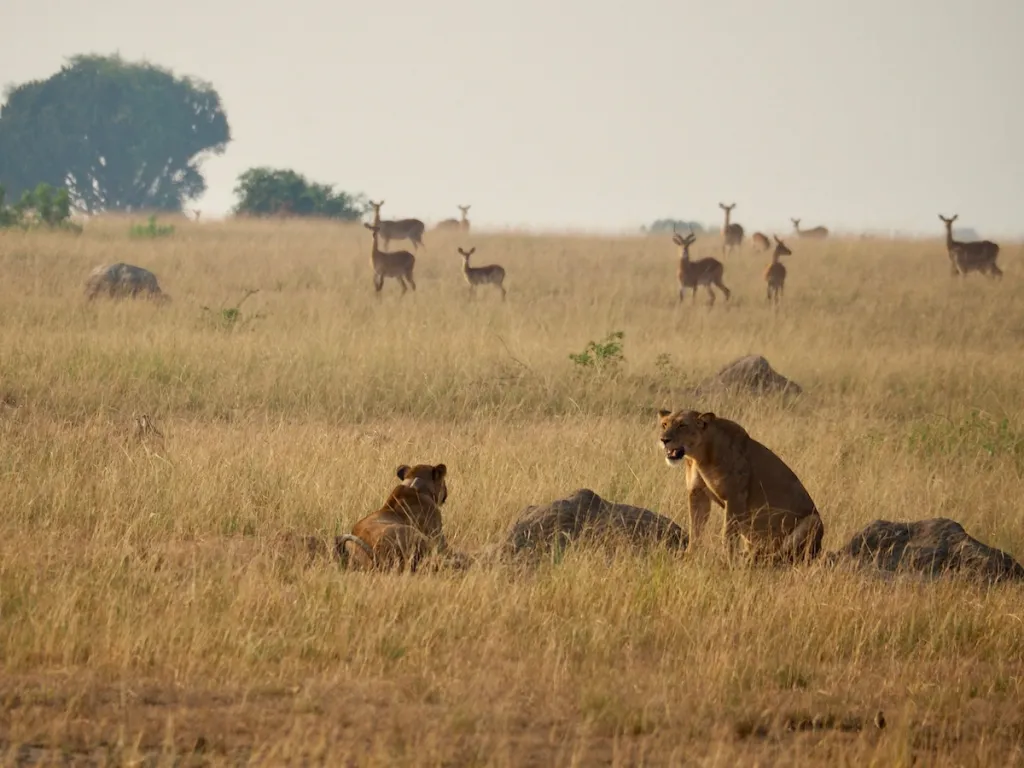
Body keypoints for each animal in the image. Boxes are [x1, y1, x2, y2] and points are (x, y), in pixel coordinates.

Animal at [657, 409, 824, 564]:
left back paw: (754, 559)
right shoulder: (697, 493)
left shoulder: (735, 496)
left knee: (784, 555)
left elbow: (728, 534)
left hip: (813, 520)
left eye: (682, 425)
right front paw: (690, 555)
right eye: (664, 424)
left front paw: (727, 560)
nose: (664, 440)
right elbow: (696, 528)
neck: (699, 457)